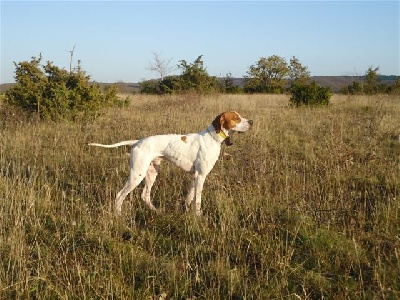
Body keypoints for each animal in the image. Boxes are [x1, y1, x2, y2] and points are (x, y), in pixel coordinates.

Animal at [90, 111, 253, 214]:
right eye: (236, 118)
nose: (251, 121)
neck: (212, 138)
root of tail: (137, 142)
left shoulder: (194, 176)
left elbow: (189, 198)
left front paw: (186, 212)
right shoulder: (201, 176)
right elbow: (198, 200)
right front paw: (198, 216)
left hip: (152, 172)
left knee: (145, 195)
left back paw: (156, 211)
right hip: (137, 174)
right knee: (120, 195)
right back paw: (118, 215)